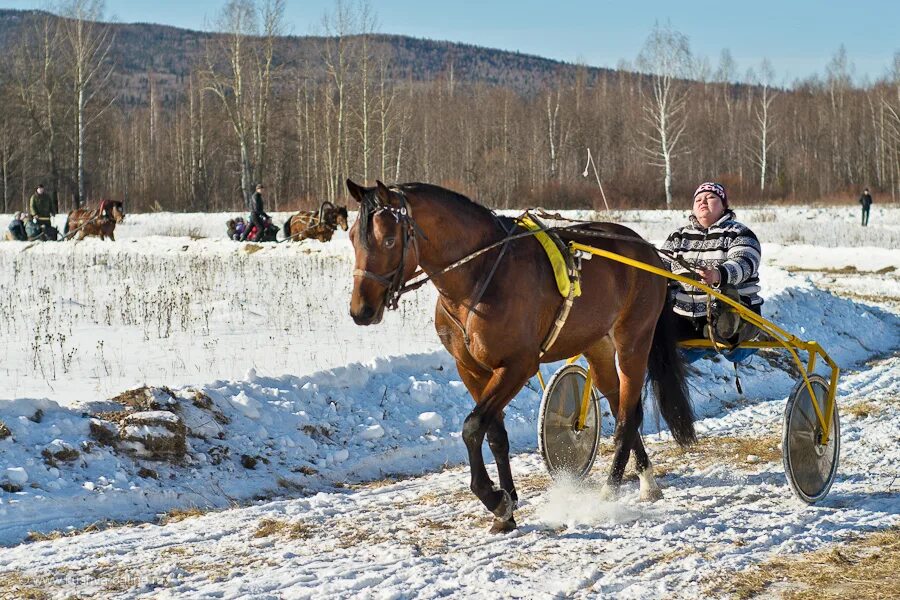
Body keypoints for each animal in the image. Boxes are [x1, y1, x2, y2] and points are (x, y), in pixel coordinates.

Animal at [346, 180, 696, 532]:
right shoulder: (470, 369)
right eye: (352, 236)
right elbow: (495, 435)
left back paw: (610, 489)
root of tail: (646, 249)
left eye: (389, 239)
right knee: (620, 403)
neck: (478, 278)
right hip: (597, 344)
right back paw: (647, 482)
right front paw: (507, 510)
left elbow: (472, 427)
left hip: (633, 340)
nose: (361, 310)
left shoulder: (517, 366)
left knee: (627, 416)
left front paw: (494, 498)